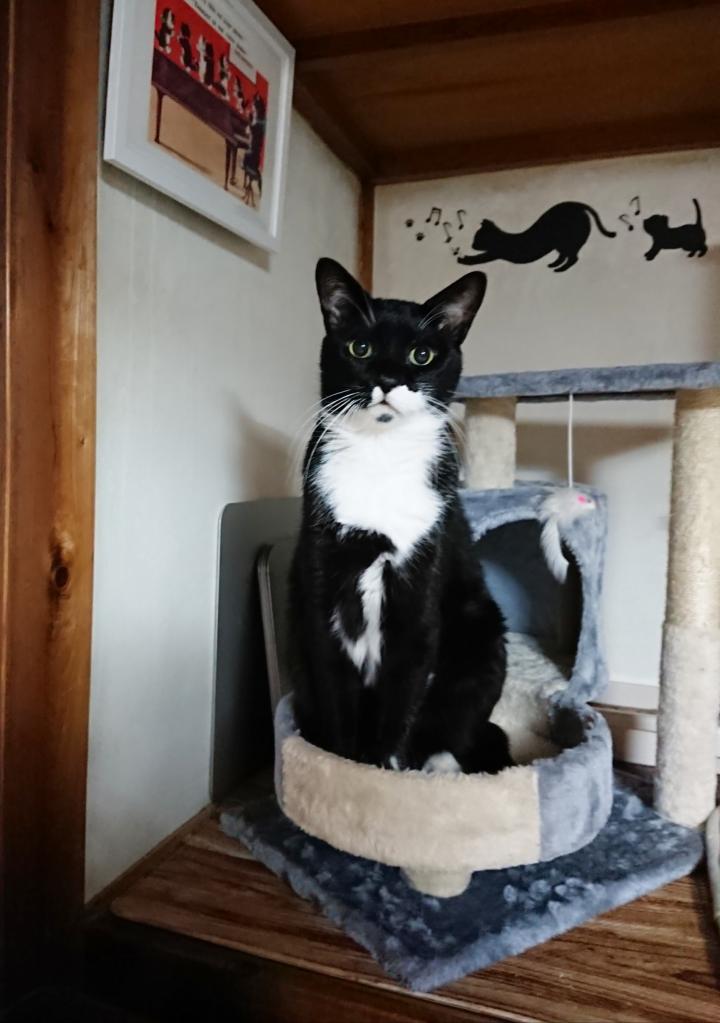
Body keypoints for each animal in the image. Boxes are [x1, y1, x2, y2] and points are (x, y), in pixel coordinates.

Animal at [288, 258, 512, 776]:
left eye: (422, 354)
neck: (380, 454)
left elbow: (403, 693)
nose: (388, 379)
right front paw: (343, 769)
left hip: (482, 634)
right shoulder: (321, 585)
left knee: (456, 728)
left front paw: (383, 773)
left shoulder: (422, 586)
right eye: (360, 347)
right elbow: (336, 694)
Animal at [458, 201, 616, 273]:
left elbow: (478, 258)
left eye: (477, 239)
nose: (472, 245)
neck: (500, 239)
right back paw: (554, 265)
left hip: (568, 241)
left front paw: (464, 259)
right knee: (565, 256)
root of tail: (577, 206)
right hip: (561, 243)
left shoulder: (494, 253)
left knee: (572, 257)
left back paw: (559, 269)